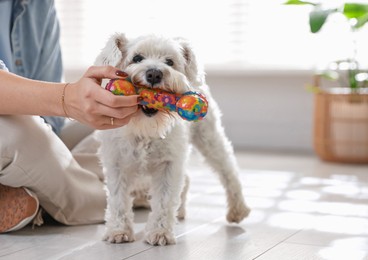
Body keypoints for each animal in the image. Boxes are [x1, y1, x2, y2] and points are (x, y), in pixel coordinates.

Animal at [95, 34, 250, 246]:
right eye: (137, 58)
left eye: (170, 62)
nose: (154, 74)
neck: (145, 128)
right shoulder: (116, 162)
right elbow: (118, 199)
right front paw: (119, 231)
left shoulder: (169, 163)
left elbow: (164, 199)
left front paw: (160, 232)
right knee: (187, 179)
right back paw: (181, 210)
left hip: (209, 138)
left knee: (228, 171)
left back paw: (237, 209)